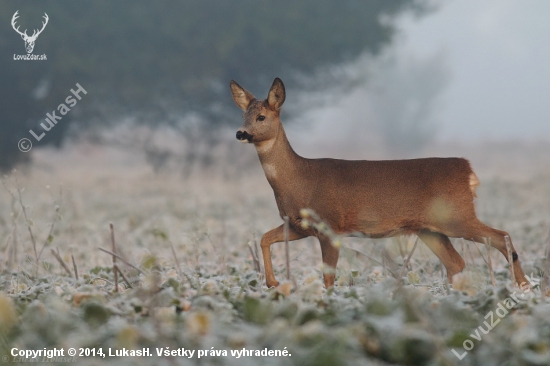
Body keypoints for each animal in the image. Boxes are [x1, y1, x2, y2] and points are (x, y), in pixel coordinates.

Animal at [230, 76, 532, 288]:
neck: (299, 180)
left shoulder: (330, 225)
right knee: (456, 262)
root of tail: (468, 171)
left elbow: (329, 277)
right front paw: (273, 283)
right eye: (243, 115)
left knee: (502, 236)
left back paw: (523, 287)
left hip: (456, 215)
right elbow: (264, 238)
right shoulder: (298, 225)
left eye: (261, 117)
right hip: (429, 228)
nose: (240, 133)